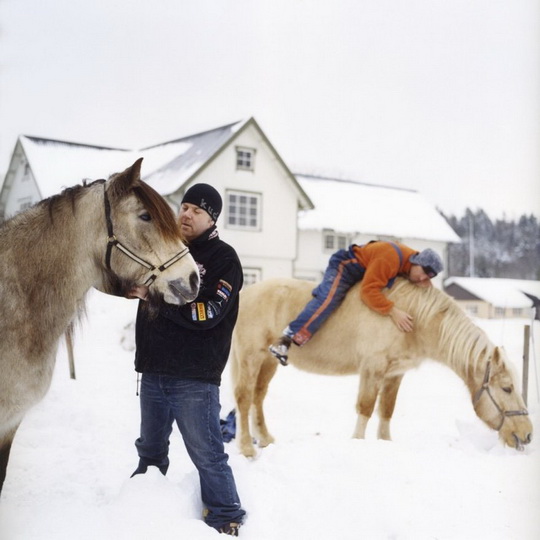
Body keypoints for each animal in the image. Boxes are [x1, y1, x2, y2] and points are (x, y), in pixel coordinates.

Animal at [232, 276, 532, 458]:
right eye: (507, 388)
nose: (527, 434)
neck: (413, 318)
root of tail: (245, 293)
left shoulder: (394, 374)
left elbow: (386, 410)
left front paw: (385, 444)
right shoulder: (372, 369)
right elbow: (365, 408)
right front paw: (357, 443)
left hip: (268, 361)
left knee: (258, 397)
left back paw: (265, 438)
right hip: (250, 356)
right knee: (244, 398)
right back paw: (247, 448)